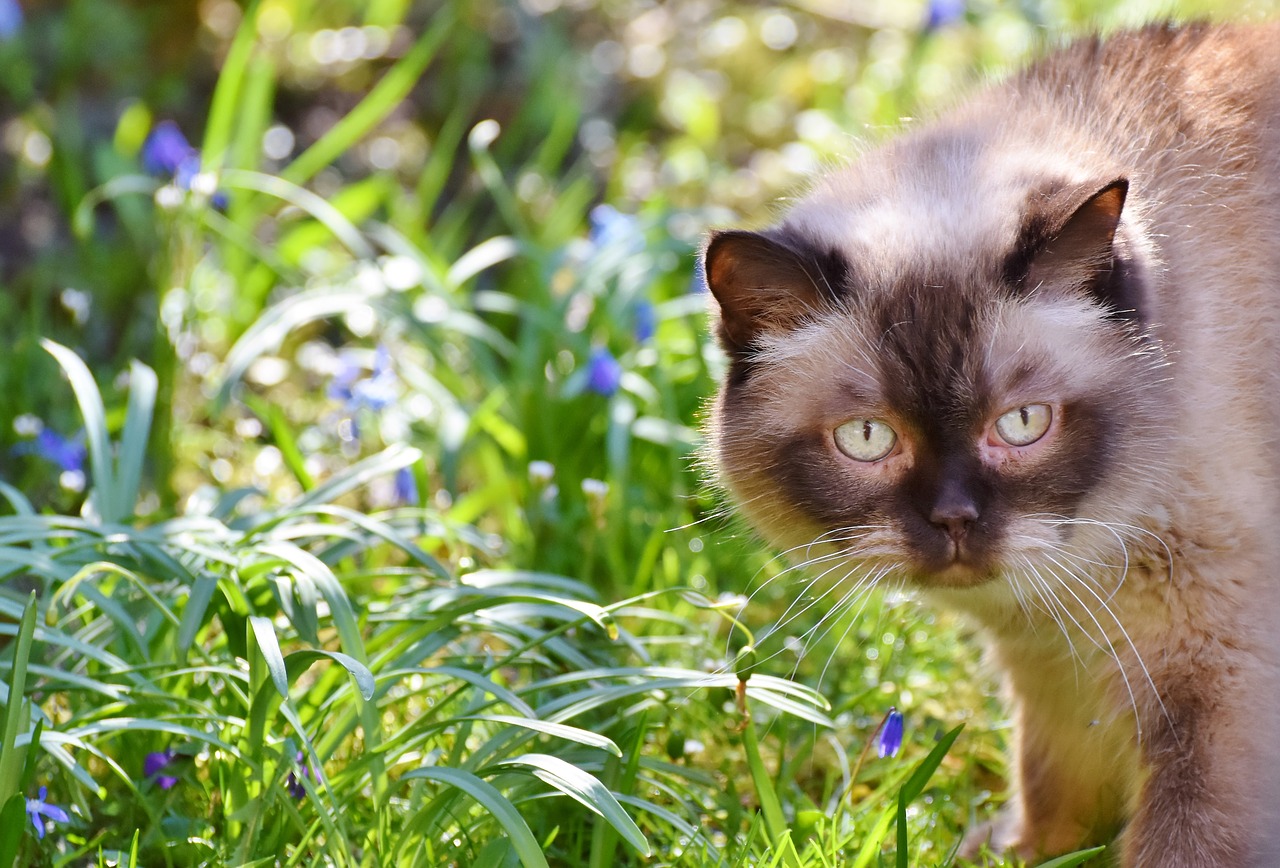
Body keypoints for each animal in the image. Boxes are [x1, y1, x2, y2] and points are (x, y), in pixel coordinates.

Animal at [706, 22, 1280, 868]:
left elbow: (1186, 837)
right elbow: (1051, 783)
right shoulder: (1054, 666)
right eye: (868, 438)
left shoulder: (1216, 674)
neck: (1073, 588)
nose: (953, 520)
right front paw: (1018, 852)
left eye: (1021, 423)